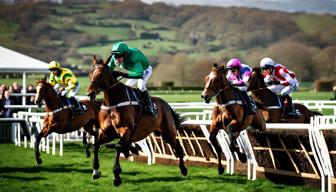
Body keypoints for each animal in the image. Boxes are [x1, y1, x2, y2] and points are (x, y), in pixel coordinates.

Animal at [85, 55, 188, 186]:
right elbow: (96, 145)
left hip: (168, 133)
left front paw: (116, 176)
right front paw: (96, 171)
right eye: (90, 73)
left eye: (101, 74)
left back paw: (183, 170)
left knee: (178, 148)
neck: (114, 103)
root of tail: (166, 105)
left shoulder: (127, 130)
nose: (90, 93)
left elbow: (118, 146)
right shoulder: (107, 132)